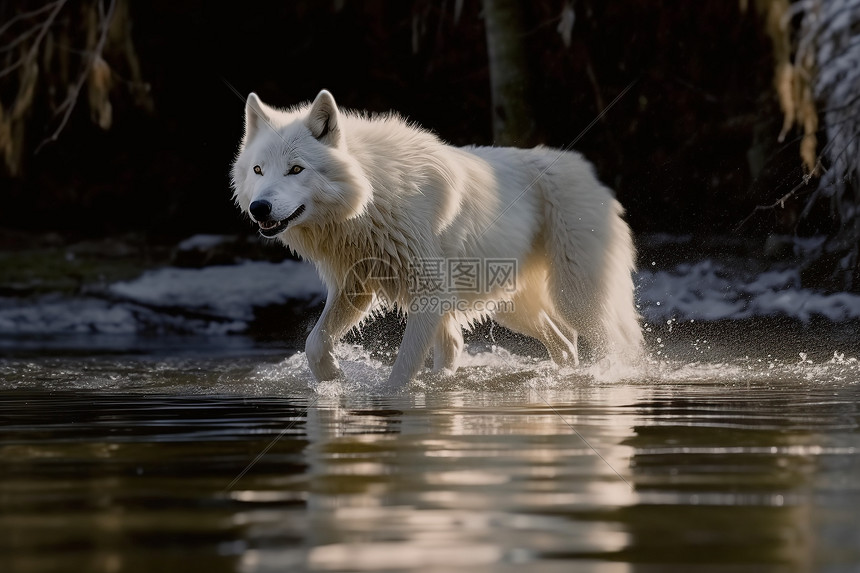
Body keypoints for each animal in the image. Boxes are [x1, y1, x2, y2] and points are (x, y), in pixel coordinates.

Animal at [232, 89, 640, 386]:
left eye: (296, 169)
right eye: (258, 170)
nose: (259, 208)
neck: (371, 198)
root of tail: (587, 172)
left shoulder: (429, 293)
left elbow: (401, 374)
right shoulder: (355, 287)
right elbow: (314, 343)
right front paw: (333, 377)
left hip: (574, 298)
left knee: (613, 343)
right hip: (510, 305)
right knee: (564, 344)